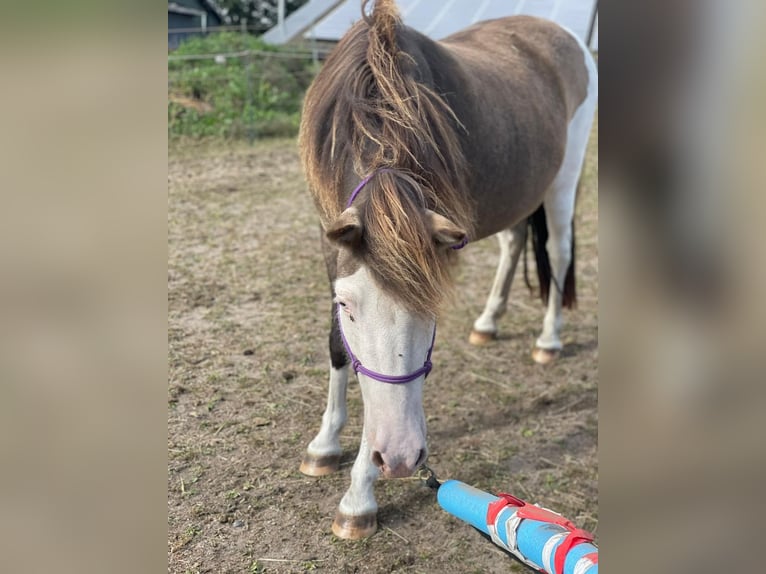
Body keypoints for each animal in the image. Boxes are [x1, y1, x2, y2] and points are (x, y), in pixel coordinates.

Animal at [297, 0, 597, 539]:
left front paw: (359, 492)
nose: (399, 457)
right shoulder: (330, 240)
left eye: (431, 306)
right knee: (514, 242)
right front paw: (326, 442)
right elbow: (338, 348)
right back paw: (489, 322)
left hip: (563, 182)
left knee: (560, 252)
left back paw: (549, 341)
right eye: (346, 305)